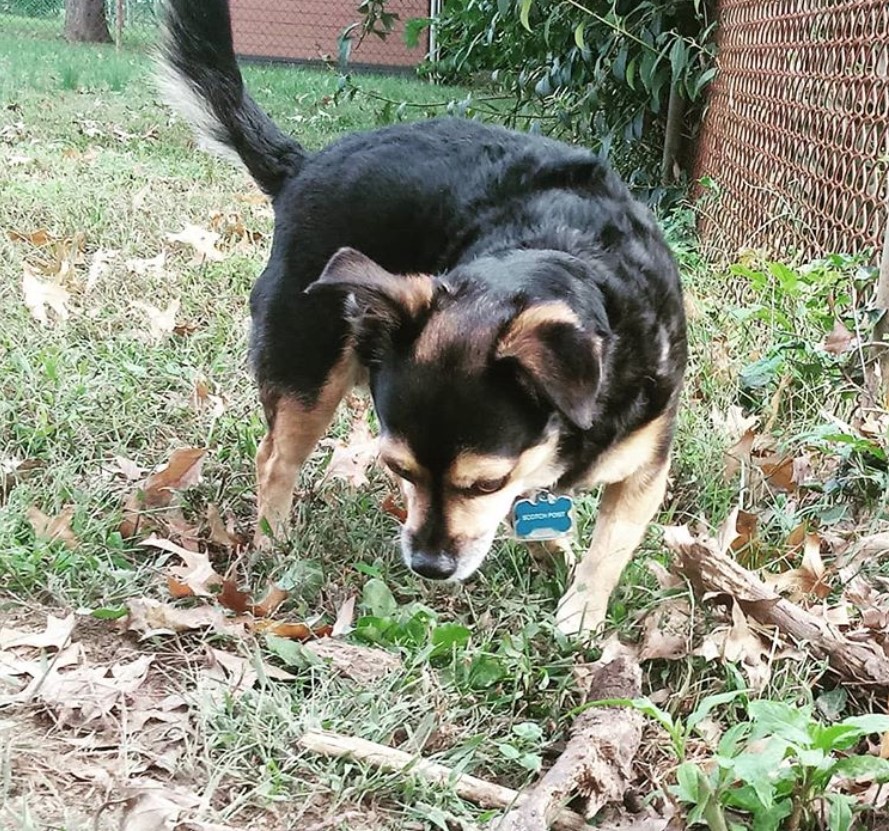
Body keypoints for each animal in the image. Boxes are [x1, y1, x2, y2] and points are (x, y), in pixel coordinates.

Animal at [158, 1, 688, 636]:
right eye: (399, 470)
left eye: (487, 483)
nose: (429, 567)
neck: (572, 257)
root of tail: (303, 166)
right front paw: (577, 612)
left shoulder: (645, 468)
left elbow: (607, 547)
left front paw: (578, 609)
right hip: (309, 373)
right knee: (274, 460)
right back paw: (274, 543)